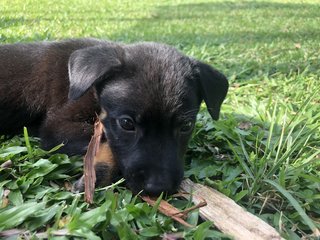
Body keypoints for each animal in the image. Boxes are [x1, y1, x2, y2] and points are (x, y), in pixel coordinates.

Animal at [1, 38, 229, 196]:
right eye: (127, 124)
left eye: (186, 126)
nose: (158, 188)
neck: (91, 86)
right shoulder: (56, 127)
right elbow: (107, 140)